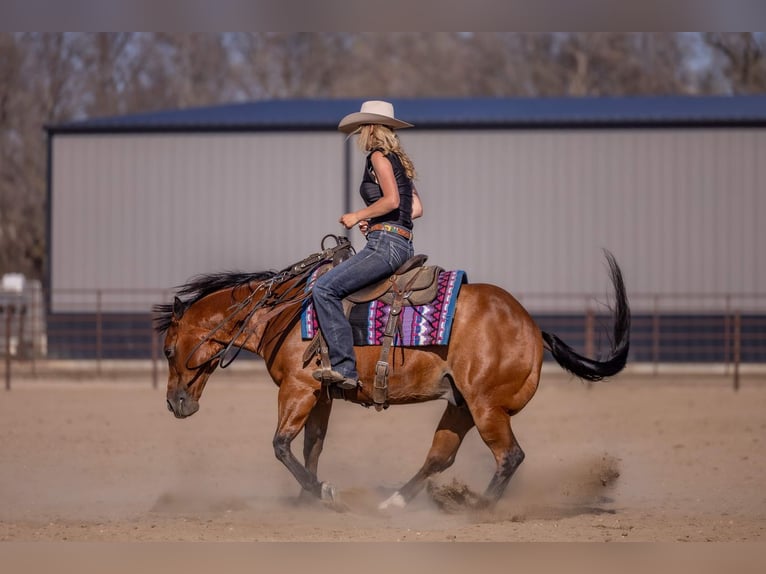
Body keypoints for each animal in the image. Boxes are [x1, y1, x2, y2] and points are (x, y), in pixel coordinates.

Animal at [153, 241, 630, 510]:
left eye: (169, 349)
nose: (175, 404)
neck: (284, 313)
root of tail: (532, 328)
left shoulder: (299, 389)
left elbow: (282, 446)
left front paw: (324, 493)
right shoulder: (319, 395)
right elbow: (311, 448)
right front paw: (306, 499)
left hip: (487, 408)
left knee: (509, 457)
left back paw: (477, 506)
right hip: (461, 405)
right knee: (439, 457)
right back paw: (395, 501)